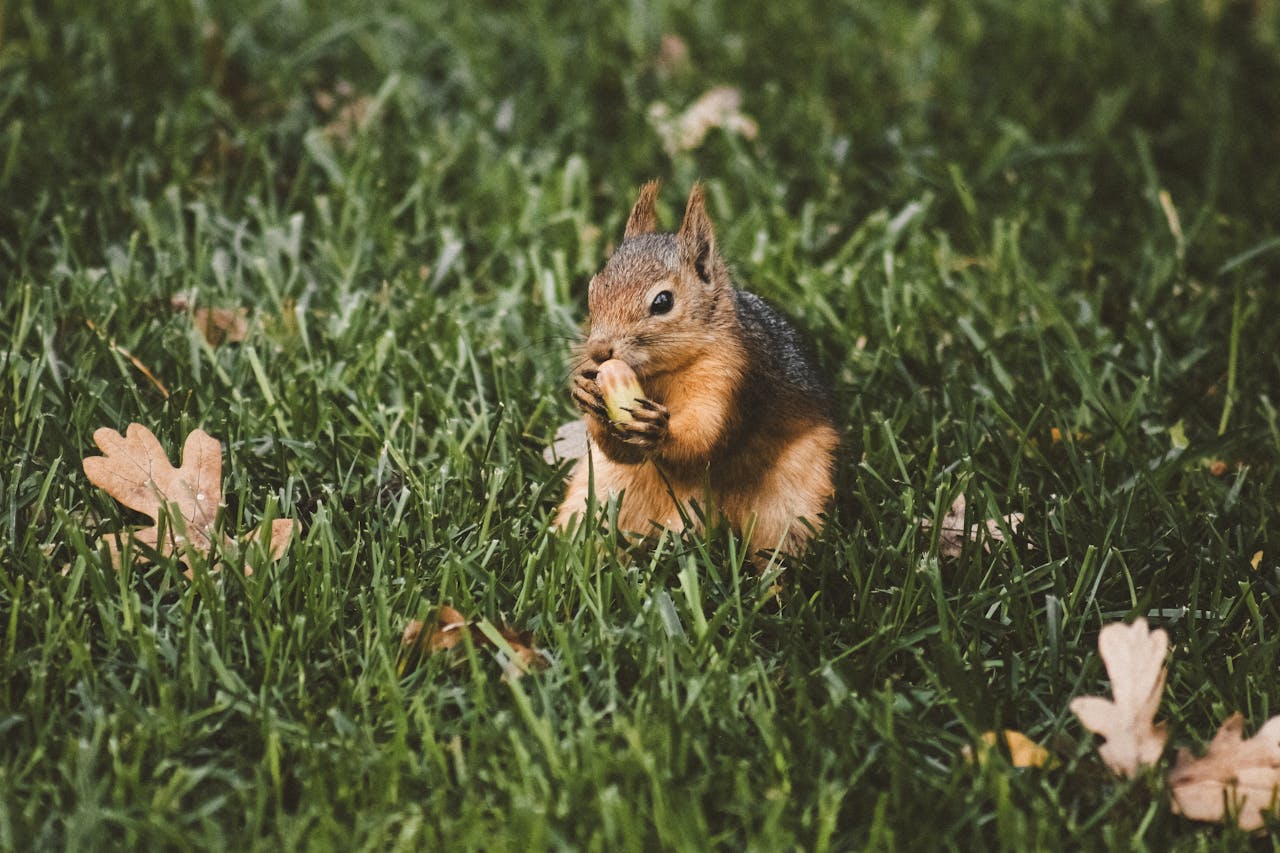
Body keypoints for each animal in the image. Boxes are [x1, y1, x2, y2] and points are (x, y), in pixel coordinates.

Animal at [554, 181, 838, 561]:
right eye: (592, 290)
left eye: (663, 302)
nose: (599, 352)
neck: (661, 372)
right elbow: (623, 453)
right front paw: (584, 392)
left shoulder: (733, 376)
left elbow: (706, 438)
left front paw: (659, 430)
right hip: (602, 491)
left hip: (794, 498)